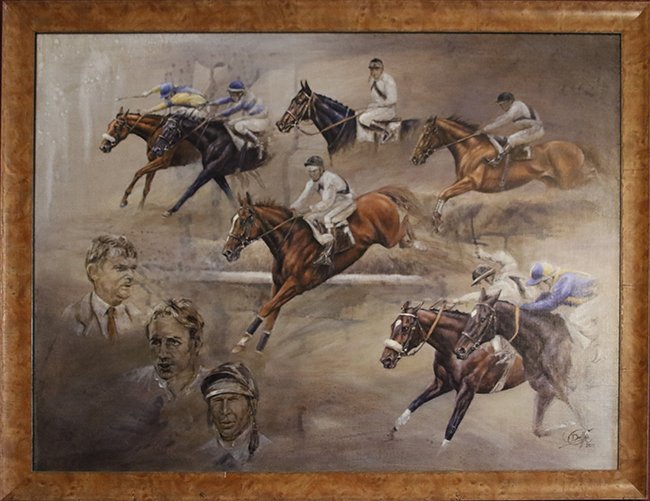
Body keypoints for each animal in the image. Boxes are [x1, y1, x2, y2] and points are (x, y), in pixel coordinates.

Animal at [222, 188, 420, 353]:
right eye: (232, 220)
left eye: (243, 220)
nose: (227, 252)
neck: (290, 242)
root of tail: (379, 194)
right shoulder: (278, 283)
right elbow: (272, 311)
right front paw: (260, 346)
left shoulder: (296, 284)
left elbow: (266, 308)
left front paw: (242, 341)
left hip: (388, 238)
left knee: (405, 223)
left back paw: (417, 239)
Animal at [380, 300, 526, 446]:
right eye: (392, 326)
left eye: (405, 328)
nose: (385, 359)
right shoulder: (442, 383)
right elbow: (414, 403)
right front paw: (392, 431)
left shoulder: (467, 393)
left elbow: (450, 429)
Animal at [410, 116, 590, 230]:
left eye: (426, 134)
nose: (414, 158)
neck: (472, 148)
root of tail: (577, 147)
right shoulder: (461, 180)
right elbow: (443, 193)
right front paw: (436, 219)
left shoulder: (470, 182)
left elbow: (444, 193)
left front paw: (437, 219)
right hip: (554, 183)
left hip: (568, 181)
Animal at [454, 289, 588, 438]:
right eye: (470, 317)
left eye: (482, 319)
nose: (460, 349)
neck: (544, 344)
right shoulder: (546, 390)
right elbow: (539, 428)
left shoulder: (568, 390)